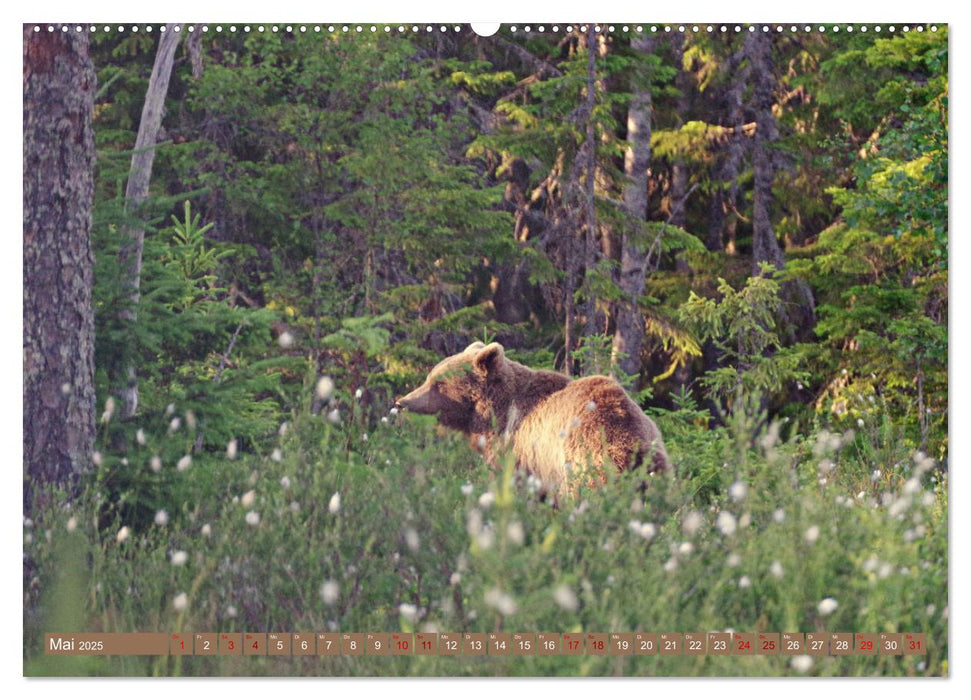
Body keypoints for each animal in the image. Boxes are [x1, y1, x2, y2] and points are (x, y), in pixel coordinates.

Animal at [392, 344, 668, 498]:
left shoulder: (519, 451)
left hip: (586, 460)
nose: (402, 401)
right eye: (430, 377)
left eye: (439, 383)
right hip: (655, 466)